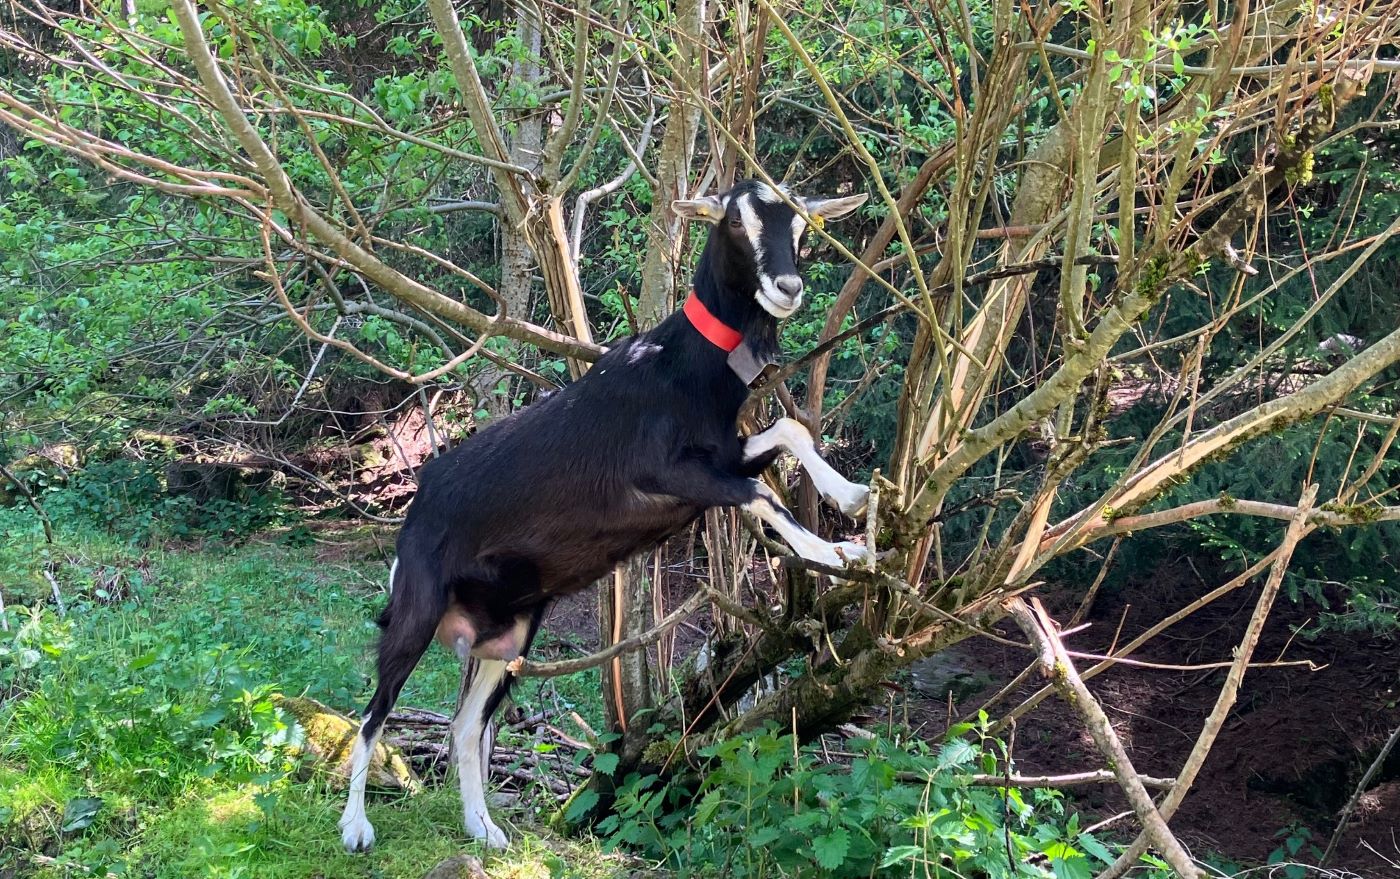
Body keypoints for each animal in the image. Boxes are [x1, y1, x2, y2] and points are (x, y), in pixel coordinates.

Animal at [337, 180, 868, 851]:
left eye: (800, 226)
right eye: (733, 221)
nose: (788, 287)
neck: (679, 364)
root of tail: (419, 502)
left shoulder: (719, 455)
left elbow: (791, 432)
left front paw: (851, 498)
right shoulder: (669, 474)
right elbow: (760, 494)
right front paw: (839, 552)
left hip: (506, 637)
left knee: (464, 727)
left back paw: (484, 829)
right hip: (416, 607)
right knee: (374, 710)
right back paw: (356, 827)